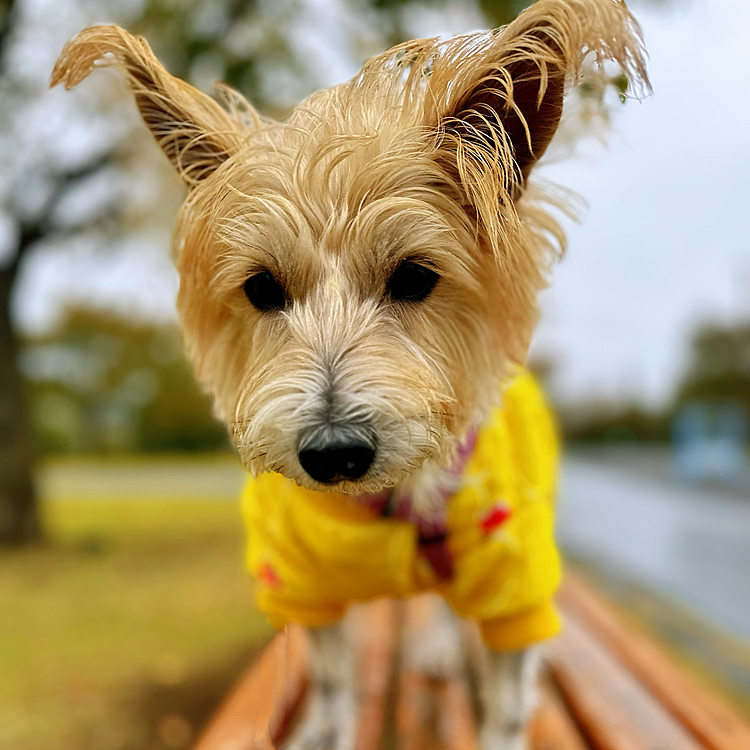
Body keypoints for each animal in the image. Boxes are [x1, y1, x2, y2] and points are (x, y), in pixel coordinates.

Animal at [54, 2, 652, 748]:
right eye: (261, 287)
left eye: (416, 277)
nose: (334, 454)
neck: (387, 506)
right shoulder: (298, 582)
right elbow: (333, 679)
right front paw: (324, 724)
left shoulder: (516, 584)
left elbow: (508, 701)